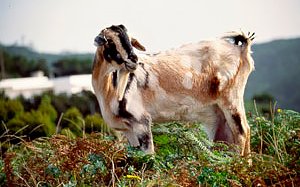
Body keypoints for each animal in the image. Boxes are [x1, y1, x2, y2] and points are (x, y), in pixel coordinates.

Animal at [92, 25, 254, 156]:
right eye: (110, 41)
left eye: (131, 40)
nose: (134, 60)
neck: (108, 90)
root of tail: (241, 48)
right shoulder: (128, 130)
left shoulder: (141, 121)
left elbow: (147, 156)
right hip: (218, 113)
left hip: (231, 99)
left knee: (243, 132)